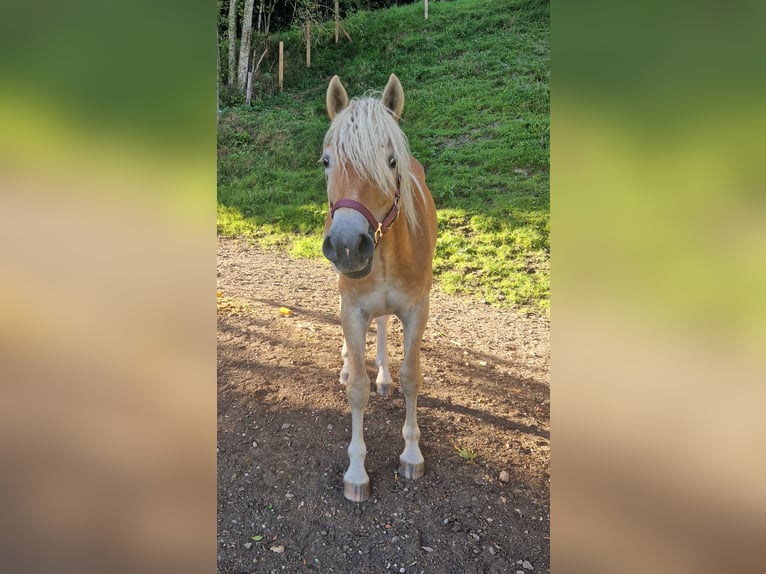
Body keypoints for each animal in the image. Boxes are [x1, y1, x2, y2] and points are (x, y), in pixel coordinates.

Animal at [320, 74, 438, 502]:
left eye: (391, 162)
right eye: (326, 162)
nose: (347, 245)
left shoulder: (417, 310)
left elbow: (411, 377)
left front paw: (411, 454)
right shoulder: (353, 311)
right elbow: (357, 387)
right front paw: (356, 473)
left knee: (385, 325)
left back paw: (384, 377)